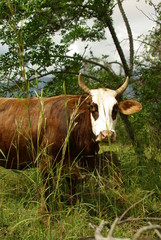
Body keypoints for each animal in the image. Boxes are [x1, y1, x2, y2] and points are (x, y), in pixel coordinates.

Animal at [0, 74, 141, 209]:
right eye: (92, 107)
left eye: (115, 108)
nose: (106, 135)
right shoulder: (46, 159)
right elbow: (46, 190)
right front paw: (45, 212)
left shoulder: (74, 163)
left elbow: (73, 190)